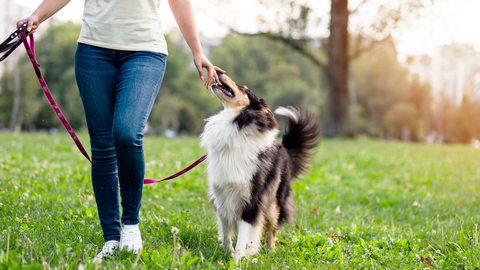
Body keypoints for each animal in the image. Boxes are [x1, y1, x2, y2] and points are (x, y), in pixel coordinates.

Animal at [201, 71, 320, 264]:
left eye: (244, 88)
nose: (219, 72)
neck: (236, 125)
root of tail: (284, 148)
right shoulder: (221, 195)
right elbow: (225, 230)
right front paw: (227, 253)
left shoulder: (254, 200)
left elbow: (244, 236)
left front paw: (238, 261)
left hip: (274, 204)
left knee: (271, 231)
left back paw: (271, 253)